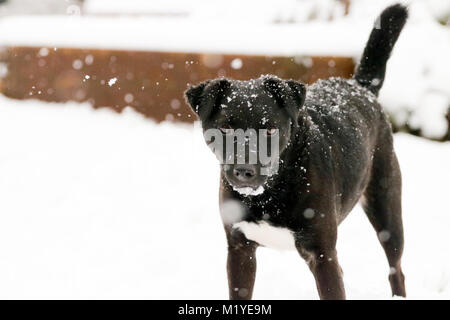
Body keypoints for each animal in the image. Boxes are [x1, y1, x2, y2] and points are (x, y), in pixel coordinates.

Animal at [185, 3, 406, 298]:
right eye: (224, 128)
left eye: (269, 129)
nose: (245, 171)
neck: (270, 193)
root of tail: (360, 86)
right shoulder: (239, 249)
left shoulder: (322, 254)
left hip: (387, 209)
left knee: (396, 269)